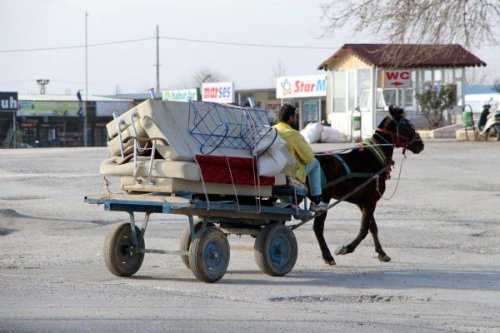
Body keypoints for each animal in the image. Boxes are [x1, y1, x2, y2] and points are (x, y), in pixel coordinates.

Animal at [314, 105, 424, 264]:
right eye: (407, 125)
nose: (421, 144)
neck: (374, 155)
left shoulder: (364, 202)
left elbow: (373, 227)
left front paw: (381, 252)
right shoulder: (370, 201)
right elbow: (364, 229)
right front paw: (347, 248)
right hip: (323, 199)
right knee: (318, 228)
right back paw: (327, 256)